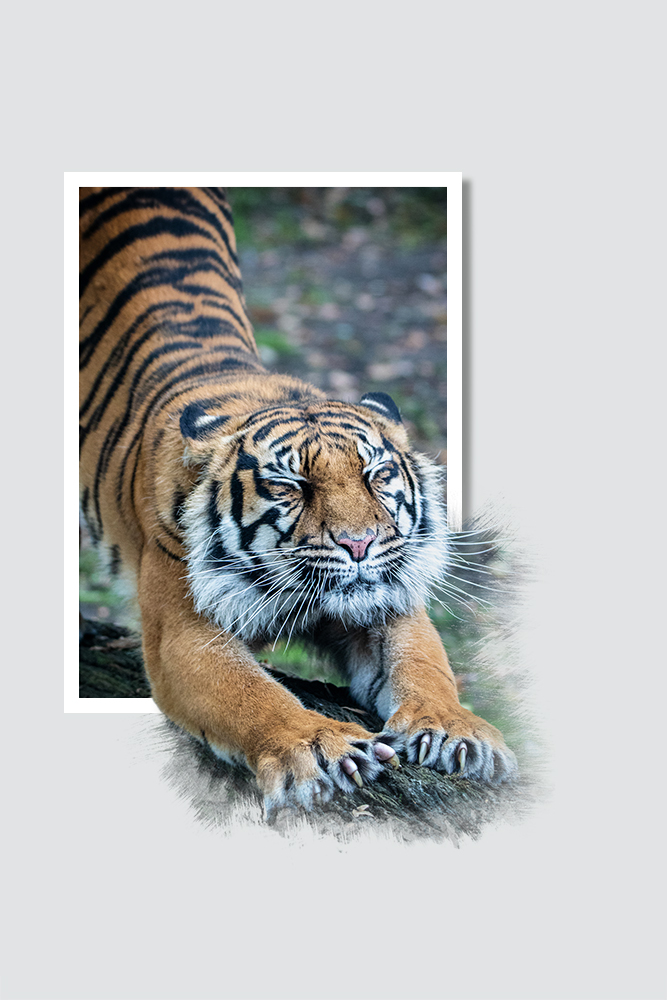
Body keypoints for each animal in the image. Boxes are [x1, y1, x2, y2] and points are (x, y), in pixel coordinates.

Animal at [79, 186, 518, 815]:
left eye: (376, 474)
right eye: (291, 486)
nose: (359, 544)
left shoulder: (388, 603)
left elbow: (426, 665)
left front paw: (458, 731)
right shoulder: (182, 634)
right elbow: (249, 694)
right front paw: (319, 746)